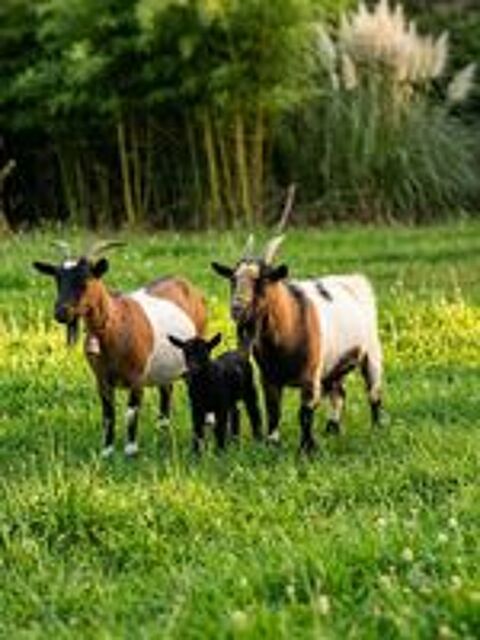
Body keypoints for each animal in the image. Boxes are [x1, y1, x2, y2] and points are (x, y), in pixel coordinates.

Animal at [33, 241, 207, 457]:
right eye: (57, 279)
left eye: (86, 279)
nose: (62, 312)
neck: (115, 325)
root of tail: (187, 284)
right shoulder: (101, 379)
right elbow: (108, 415)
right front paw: (107, 451)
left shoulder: (137, 377)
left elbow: (131, 413)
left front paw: (130, 450)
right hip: (165, 366)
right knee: (166, 389)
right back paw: (162, 429)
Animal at [211, 235, 383, 453]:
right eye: (233, 279)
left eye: (263, 281)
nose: (237, 308)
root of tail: (355, 279)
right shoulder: (269, 377)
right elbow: (273, 409)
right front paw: (273, 444)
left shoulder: (310, 376)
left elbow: (304, 413)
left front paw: (307, 449)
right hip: (332, 364)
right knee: (338, 393)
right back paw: (332, 430)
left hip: (371, 352)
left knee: (373, 390)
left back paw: (376, 428)